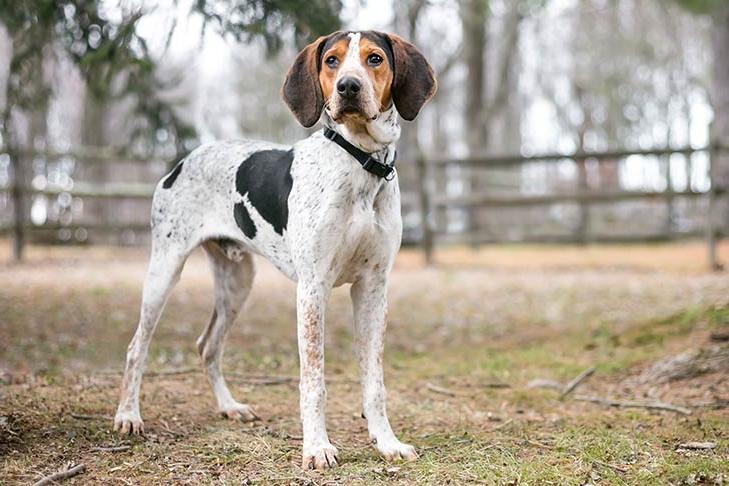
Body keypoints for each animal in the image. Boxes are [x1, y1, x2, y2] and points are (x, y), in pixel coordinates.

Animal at [111, 28, 436, 468]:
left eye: (375, 59)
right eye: (331, 61)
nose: (349, 87)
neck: (360, 162)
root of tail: (182, 161)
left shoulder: (373, 287)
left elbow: (375, 381)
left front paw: (386, 442)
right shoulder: (313, 289)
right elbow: (313, 381)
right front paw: (317, 448)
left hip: (237, 282)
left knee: (208, 346)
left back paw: (229, 406)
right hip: (165, 270)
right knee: (137, 347)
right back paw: (129, 415)